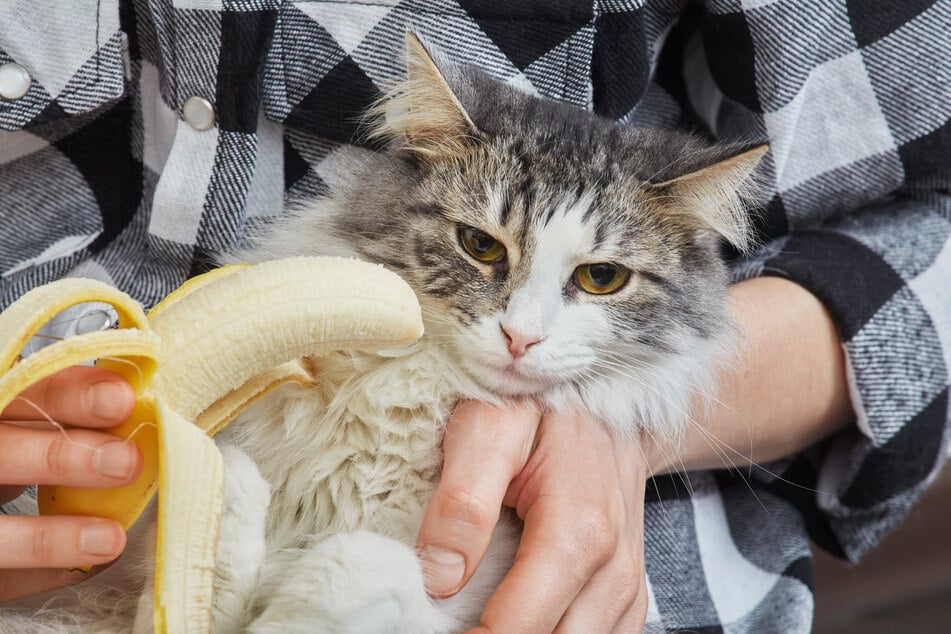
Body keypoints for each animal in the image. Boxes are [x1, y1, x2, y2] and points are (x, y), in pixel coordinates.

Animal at [3, 35, 768, 632]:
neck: (414, 390)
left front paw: (291, 613)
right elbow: (228, 505)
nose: (520, 338)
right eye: (480, 247)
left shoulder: (463, 599)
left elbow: (366, 561)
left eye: (601, 278)